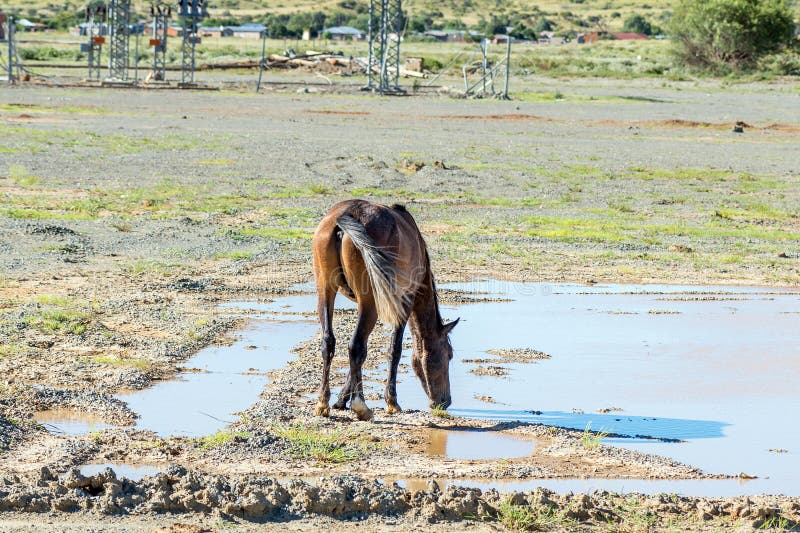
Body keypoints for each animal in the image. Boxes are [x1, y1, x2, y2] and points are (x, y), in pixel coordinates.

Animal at [314, 200, 462, 420]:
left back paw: (323, 402)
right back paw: (361, 406)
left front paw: (341, 399)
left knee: (329, 342)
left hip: (326, 289)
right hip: (370, 302)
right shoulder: (403, 302)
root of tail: (346, 215)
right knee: (356, 346)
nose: (445, 401)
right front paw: (391, 402)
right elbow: (395, 349)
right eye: (449, 355)